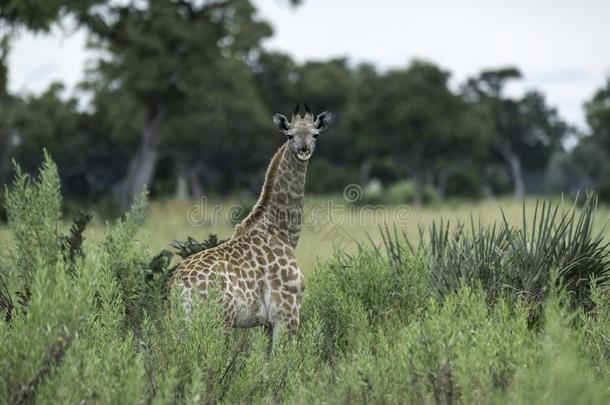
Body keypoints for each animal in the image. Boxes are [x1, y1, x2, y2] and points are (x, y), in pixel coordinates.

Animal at [169, 102, 332, 346]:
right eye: (290, 135)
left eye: (315, 134)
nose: (304, 150)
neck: (282, 232)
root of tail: (181, 288)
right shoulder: (287, 313)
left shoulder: (266, 324)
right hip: (218, 324)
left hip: (179, 327)